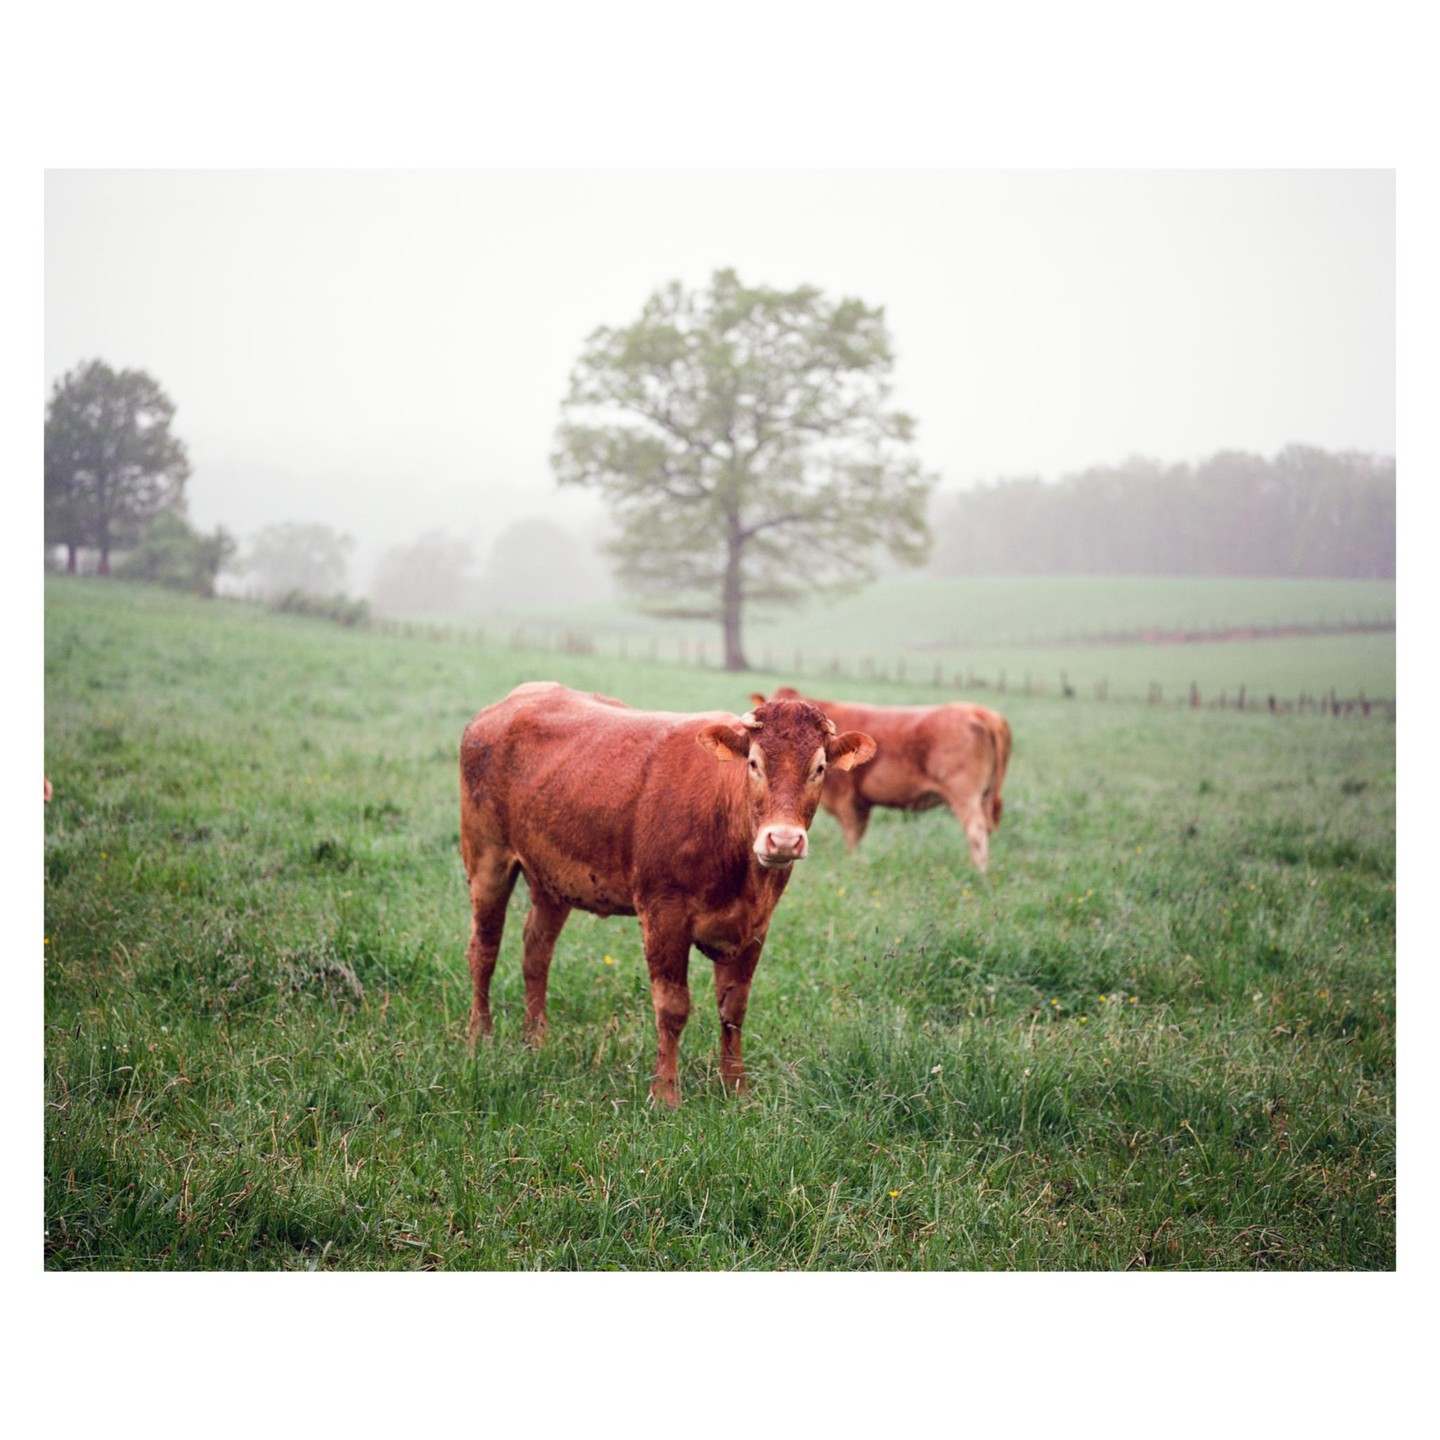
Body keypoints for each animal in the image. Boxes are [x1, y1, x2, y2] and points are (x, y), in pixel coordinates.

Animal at [459, 682, 876, 1106]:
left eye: (819, 767)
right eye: (754, 763)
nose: (784, 840)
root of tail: (510, 702)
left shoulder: (756, 925)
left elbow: (734, 1008)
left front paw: (736, 1088)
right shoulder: (664, 915)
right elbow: (672, 1006)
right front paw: (666, 1094)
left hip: (551, 880)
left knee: (536, 952)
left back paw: (536, 1039)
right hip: (488, 858)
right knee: (484, 949)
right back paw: (480, 1037)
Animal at [752, 687, 1011, 871]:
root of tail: (978, 711)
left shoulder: (848, 801)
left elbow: (852, 837)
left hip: (965, 797)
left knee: (976, 831)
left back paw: (978, 871)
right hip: (985, 797)